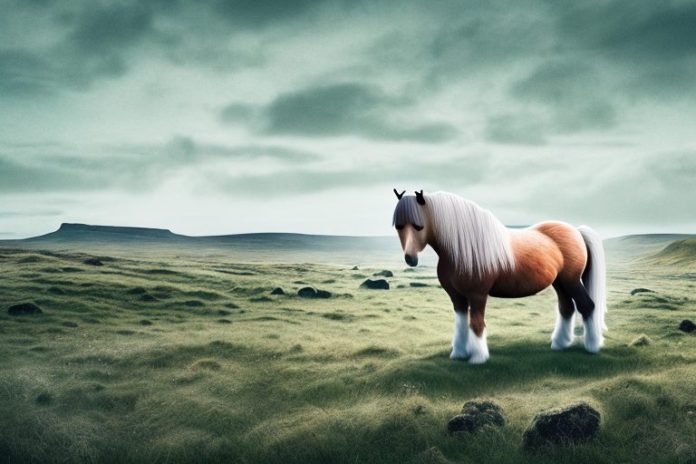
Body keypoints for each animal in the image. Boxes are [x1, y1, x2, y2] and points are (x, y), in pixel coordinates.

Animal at [392, 189, 607, 364]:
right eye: (399, 226)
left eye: (419, 226)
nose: (410, 259)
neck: (461, 250)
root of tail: (576, 231)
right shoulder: (457, 297)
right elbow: (461, 323)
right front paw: (459, 354)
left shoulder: (478, 295)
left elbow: (476, 323)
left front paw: (478, 358)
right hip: (559, 283)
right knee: (566, 308)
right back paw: (559, 344)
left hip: (571, 281)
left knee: (587, 306)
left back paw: (592, 346)